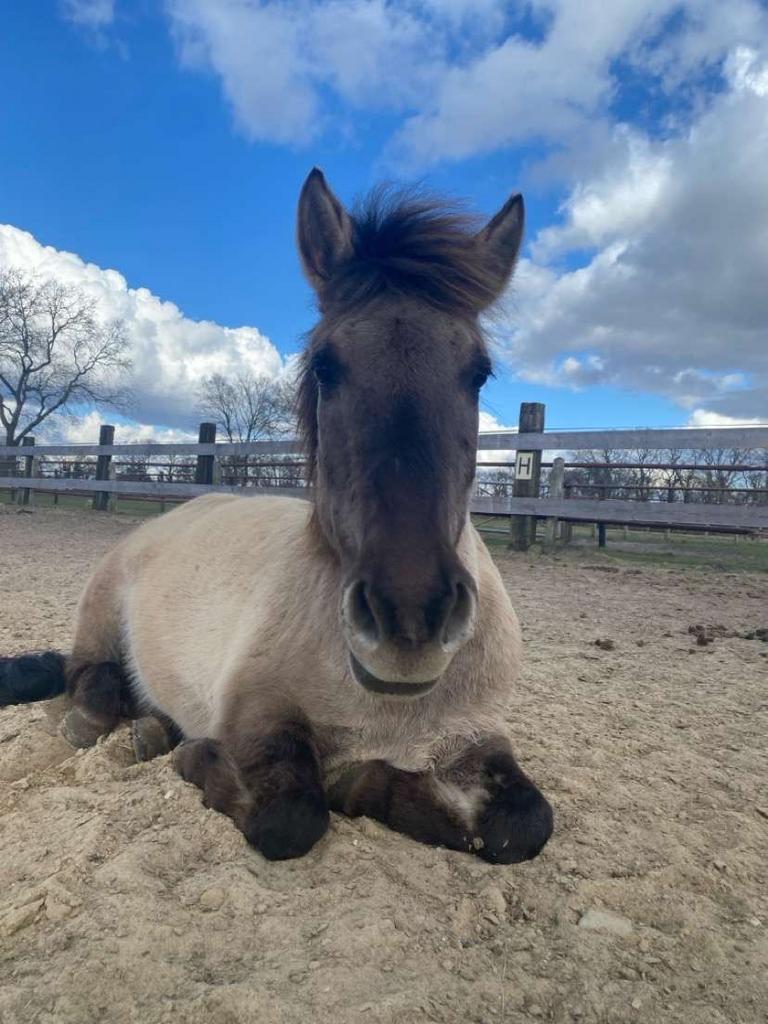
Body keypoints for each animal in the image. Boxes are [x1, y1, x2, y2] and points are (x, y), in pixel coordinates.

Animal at [0, 170, 553, 863]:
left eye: (478, 373)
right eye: (325, 366)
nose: (411, 618)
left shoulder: (479, 736)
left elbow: (521, 825)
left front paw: (362, 782)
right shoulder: (256, 716)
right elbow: (288, 817)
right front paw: (198, 758)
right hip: (100, 616)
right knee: (87, 680)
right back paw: (128, 726)